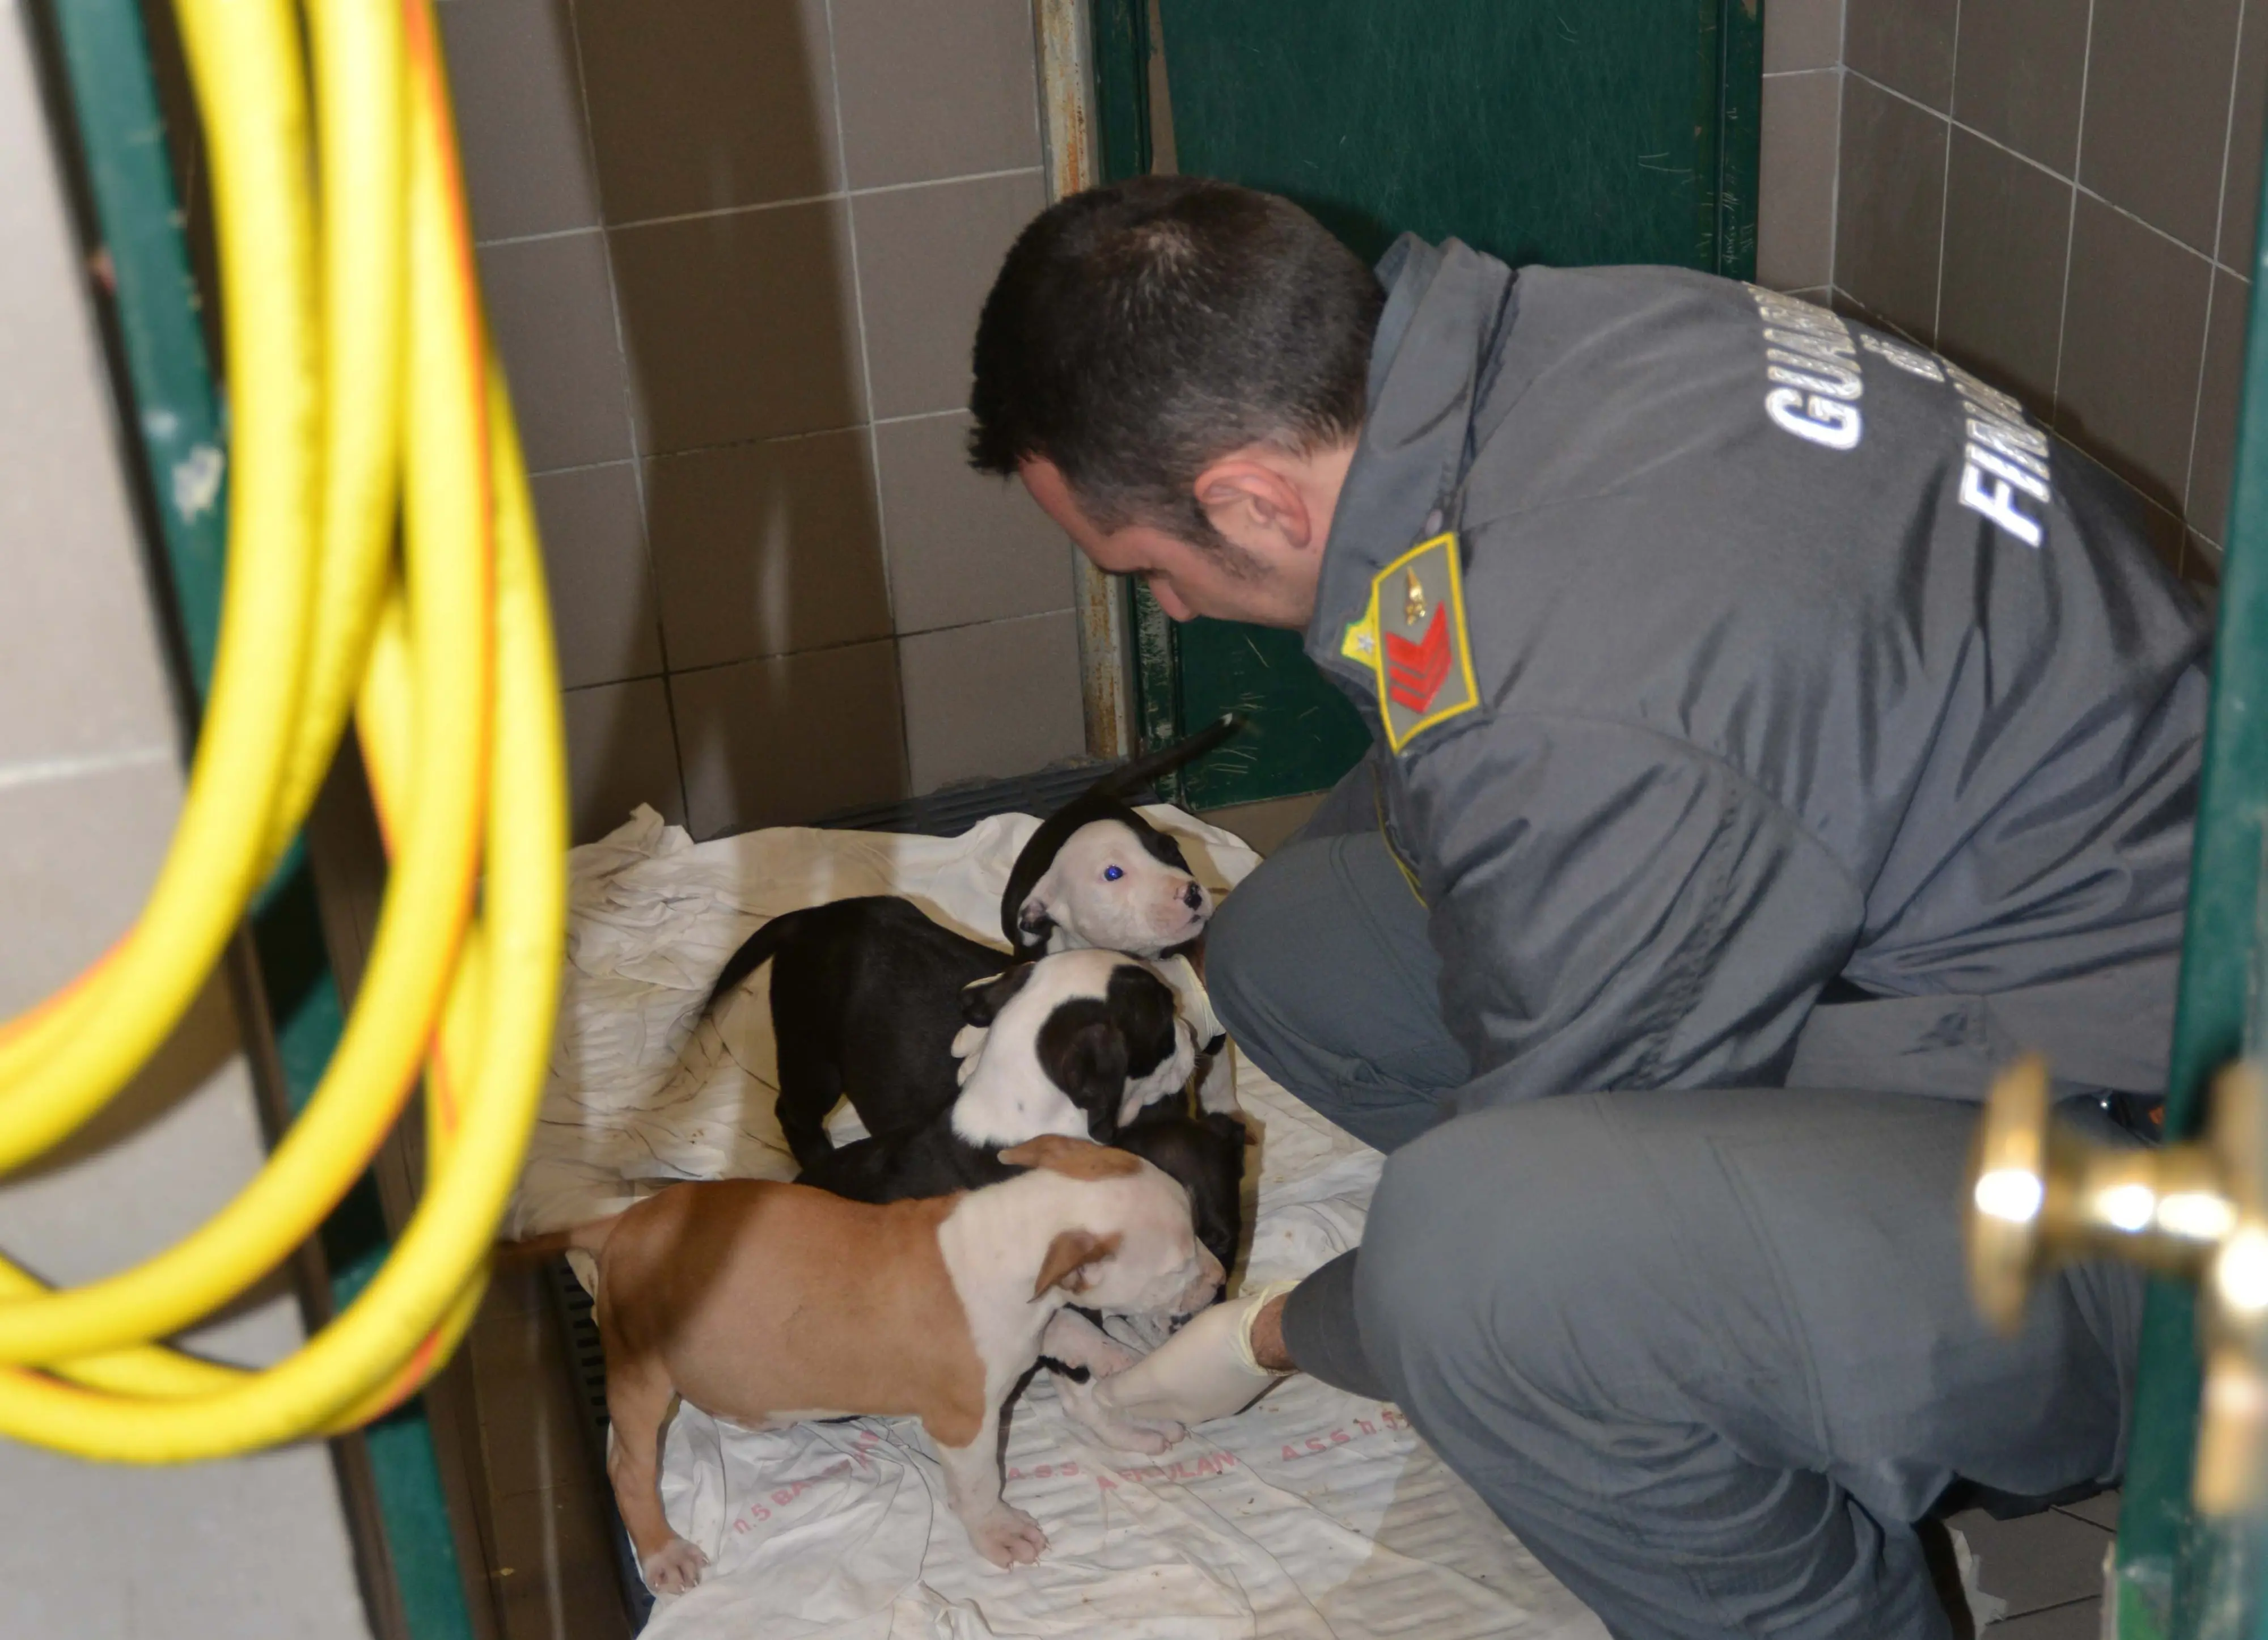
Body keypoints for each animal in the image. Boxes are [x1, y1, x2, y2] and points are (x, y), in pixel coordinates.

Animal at [528, 1134, 1225, 1597]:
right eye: (1180, 1264)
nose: (1220, 1279)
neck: (1013, 1236)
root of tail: (618, 1224)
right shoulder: (963, 1420)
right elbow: (978, 1483)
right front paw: (997, 1532)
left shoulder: (1040, 1317)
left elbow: (1071, 1330)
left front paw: (1119, 1364)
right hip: (642, 1372)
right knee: (627, 1466)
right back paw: (662, 1552)